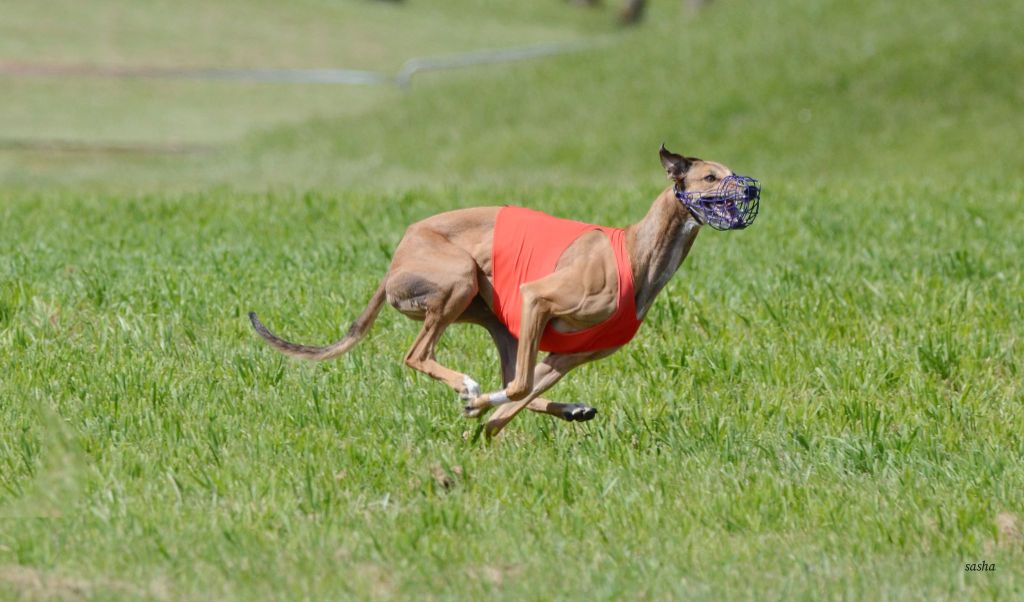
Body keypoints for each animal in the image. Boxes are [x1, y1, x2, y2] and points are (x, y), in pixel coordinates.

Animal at [250, 145, 757, 438]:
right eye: (710, 177)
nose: (752, 190)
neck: (637, 250)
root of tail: (397, 255)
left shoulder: (569, 356)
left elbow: (516, 398)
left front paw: (482, 422)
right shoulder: (538, 298)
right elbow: (516, 389)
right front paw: (474, 401)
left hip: (496, 320)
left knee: (513, 379)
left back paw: (566, 409)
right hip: (459, 280)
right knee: (420, 355)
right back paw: (469, 387)